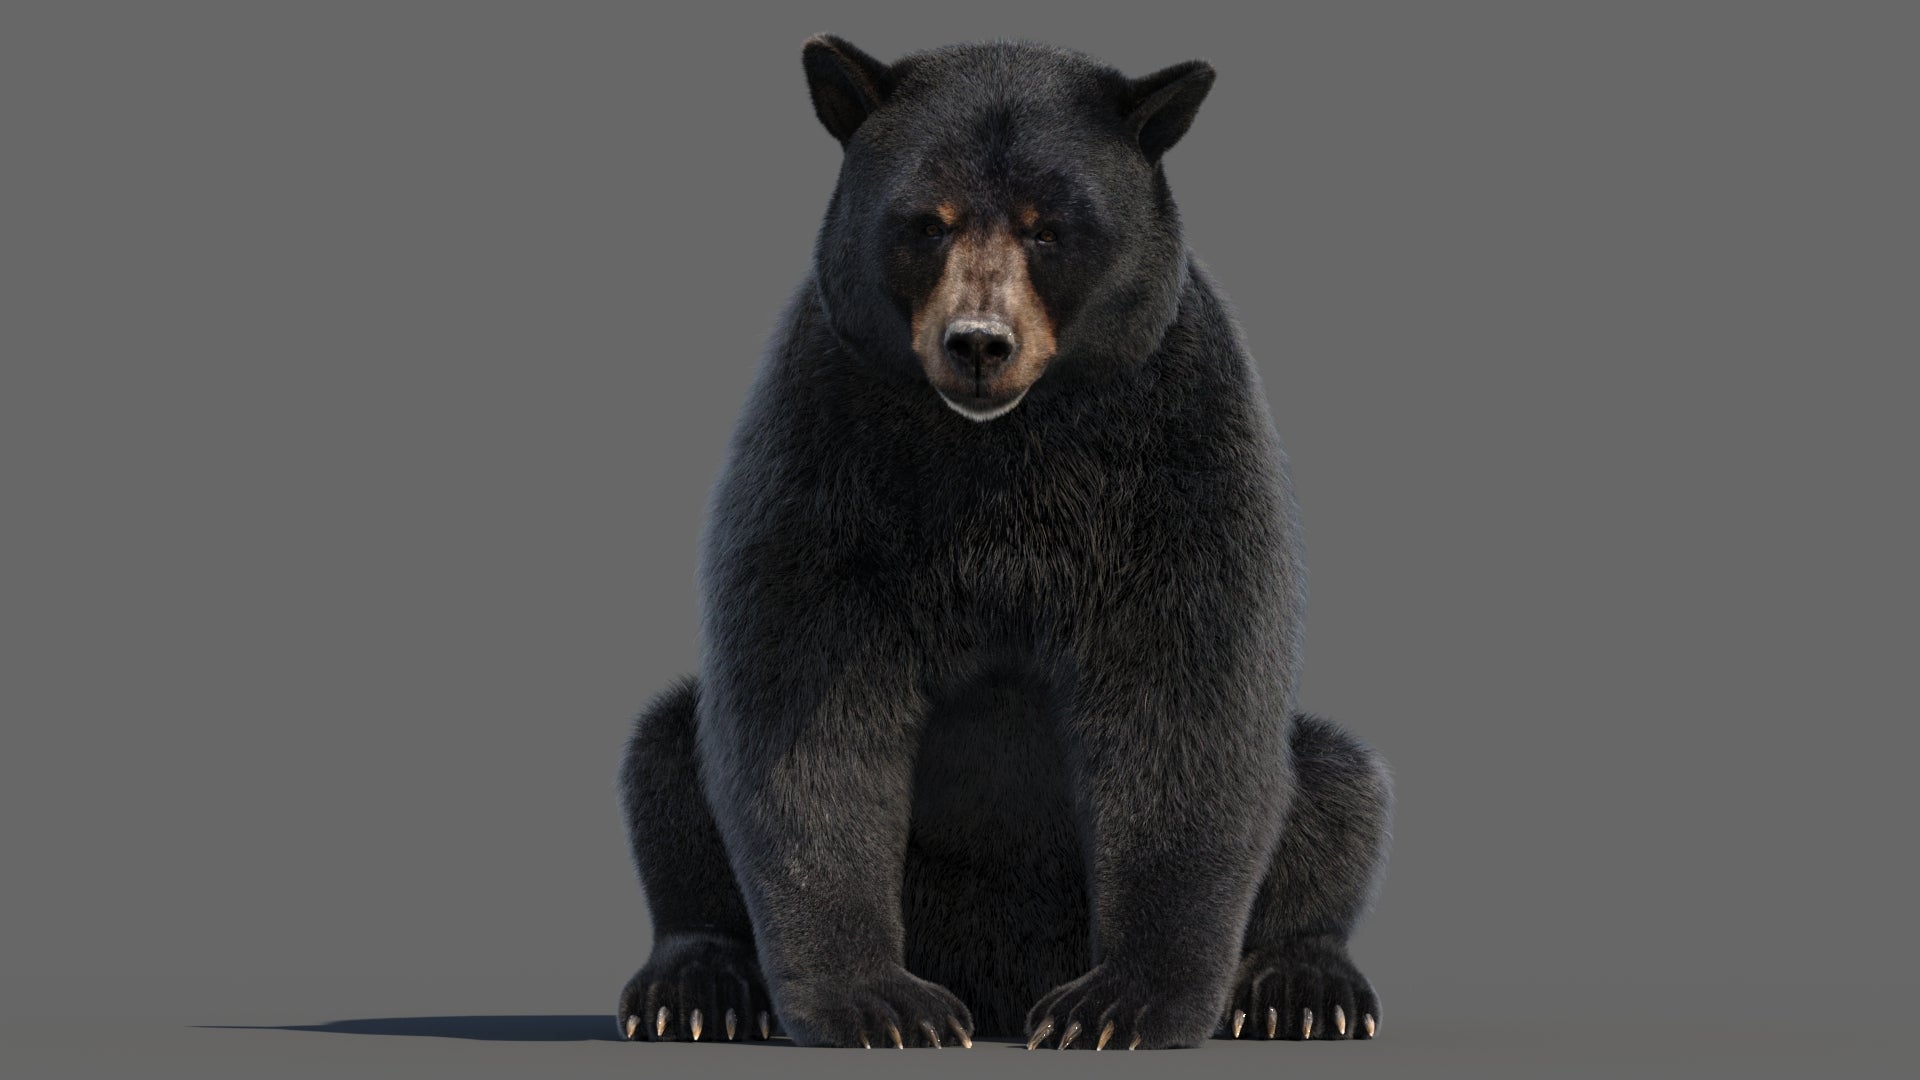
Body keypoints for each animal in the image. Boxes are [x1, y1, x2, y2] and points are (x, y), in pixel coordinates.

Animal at [615, 35, 1392, 1050]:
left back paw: (1299, 987)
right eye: (926, 222)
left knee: (1339, 788)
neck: (1000, 447)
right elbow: (806, 711)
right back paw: (698, 987)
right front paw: (879, 1004)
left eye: (1049, 228)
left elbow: (1188, 706)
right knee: (665, 760)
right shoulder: (825, 448)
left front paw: (1120, 1006)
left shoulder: (1179, 452)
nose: (978, 343)